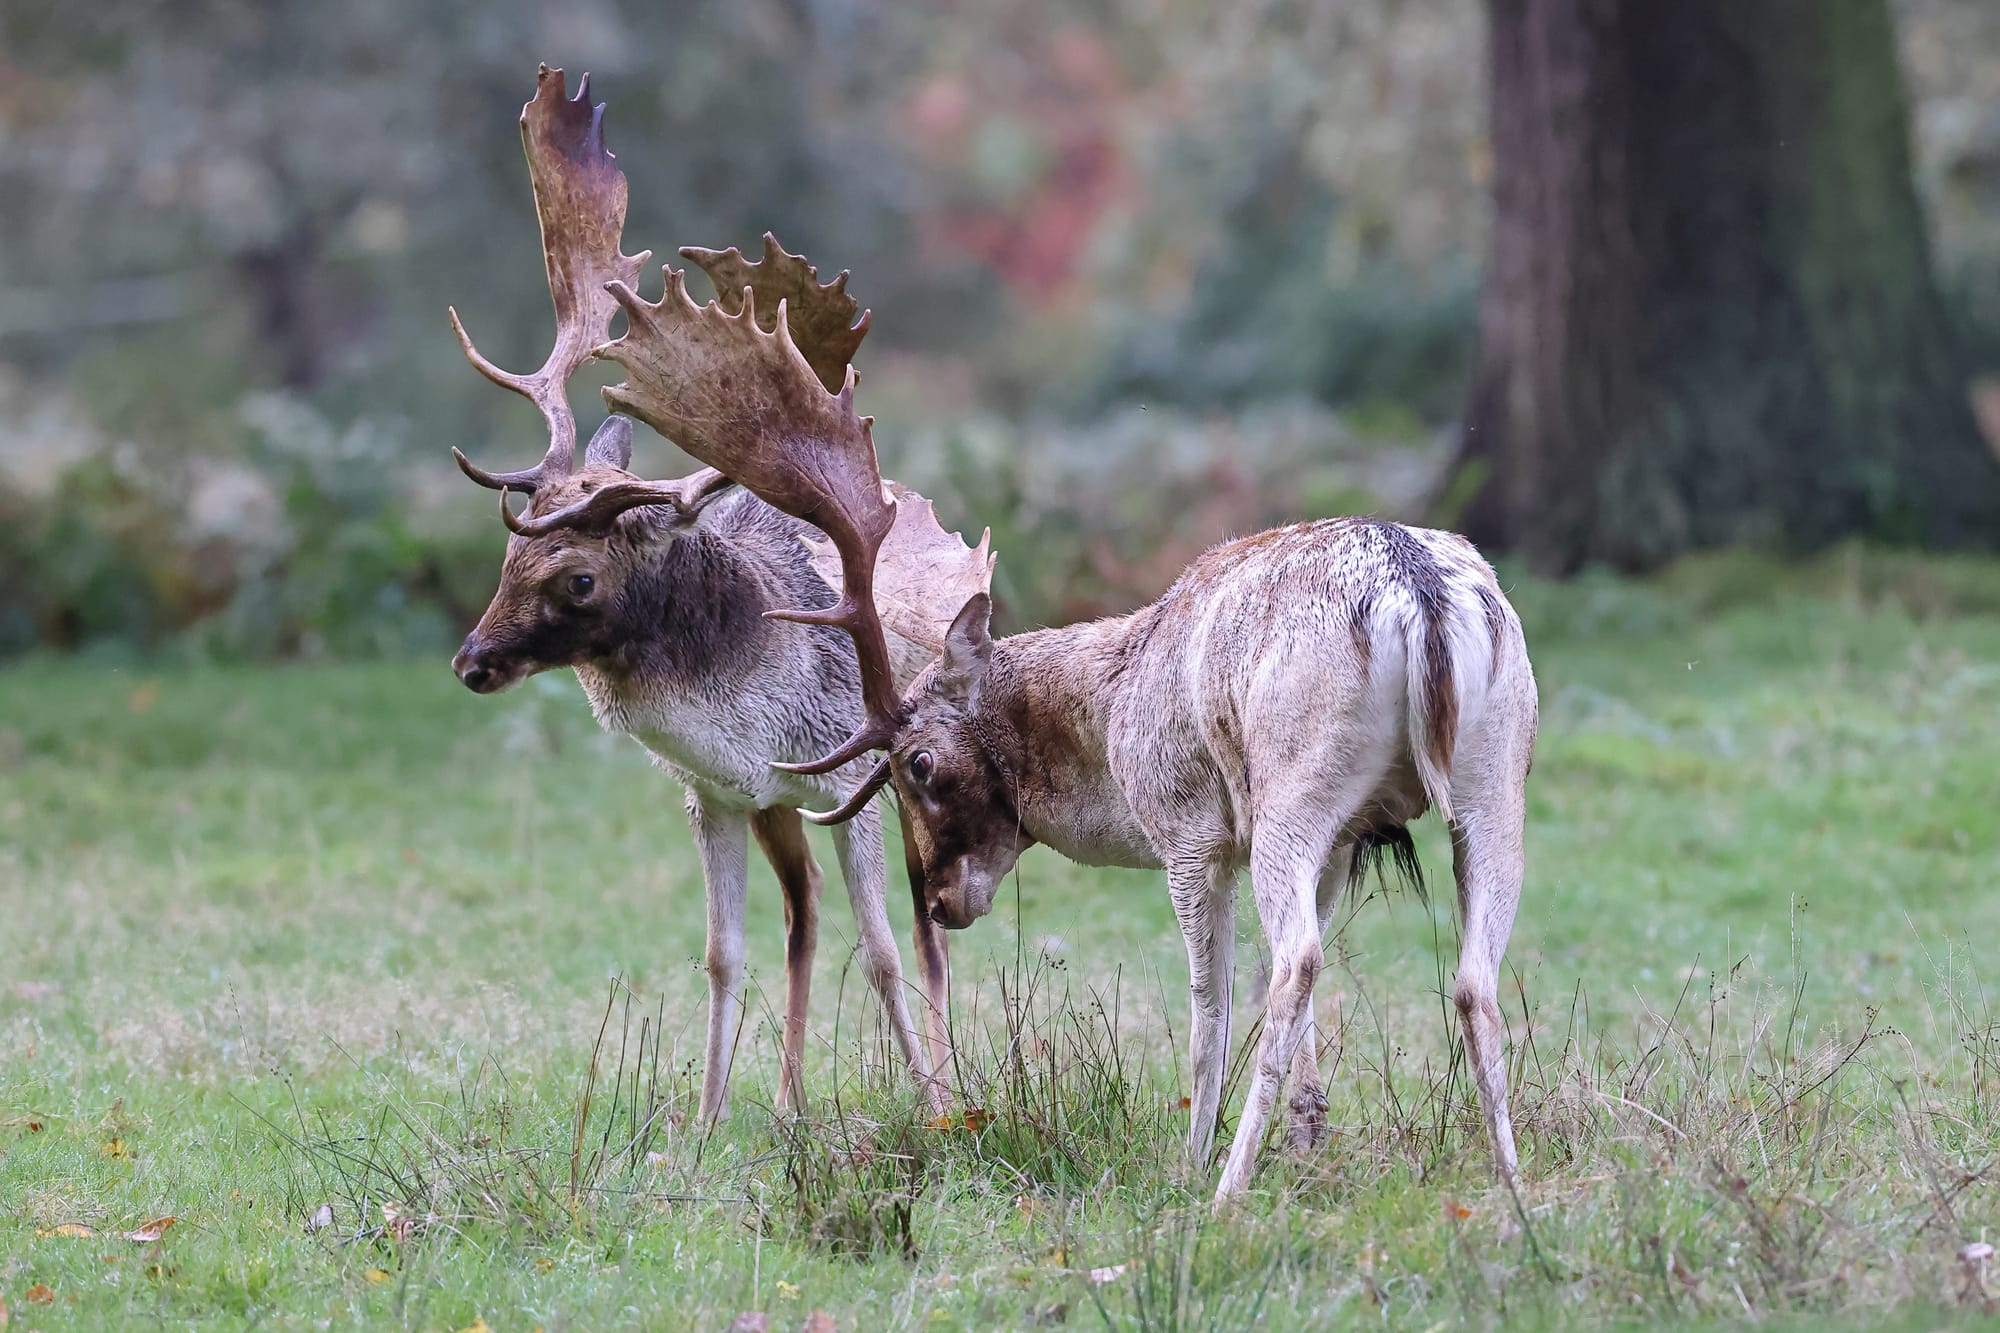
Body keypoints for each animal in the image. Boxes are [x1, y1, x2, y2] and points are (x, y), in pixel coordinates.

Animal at [438, 70, 984, 1120]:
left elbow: (887, 952)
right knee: (802, 916)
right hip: (778, 813)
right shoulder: (717, 794)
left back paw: (939, 1077)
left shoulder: (848, 777)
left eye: (579, 577)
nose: (472, 663)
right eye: (505, 563)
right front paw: (705, 1119)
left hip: (910, 783)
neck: (750, 720)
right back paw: (793, 1102)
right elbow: (724, 954)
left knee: (923, 936)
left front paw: (936, 1104)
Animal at [584, 244, 1536, 1200]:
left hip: (1295, 793)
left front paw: (1195, 1158)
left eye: (918, 764)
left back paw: (1226, 1189)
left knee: (1300, 958)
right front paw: (1304, 1141)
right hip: (1494, 780)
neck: (1111, 715)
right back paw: (1511, 1186)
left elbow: (1215, 999)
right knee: (1471, 977)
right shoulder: (1345, 843)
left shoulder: (1188, 828)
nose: (938, 899)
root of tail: (1417, 594)